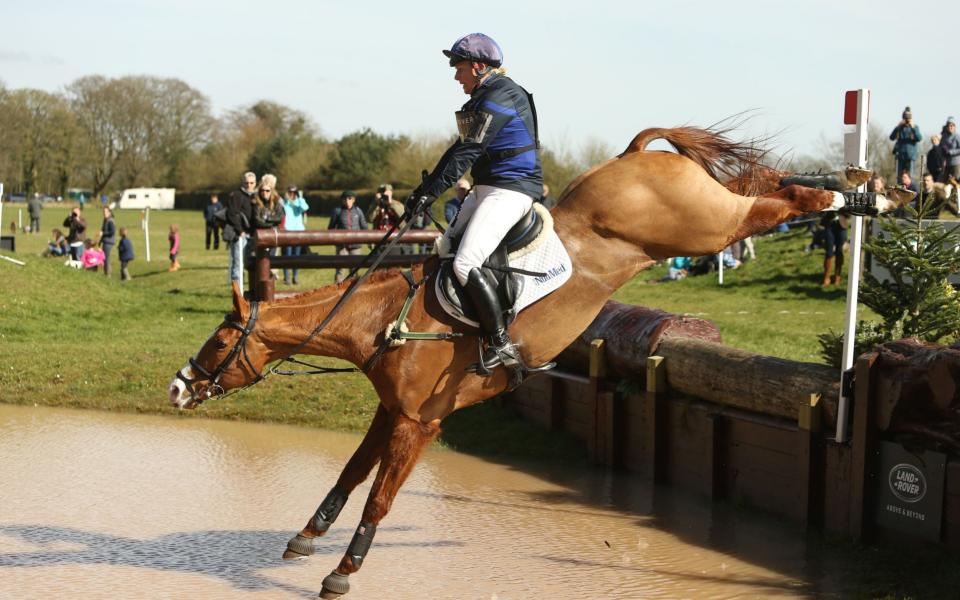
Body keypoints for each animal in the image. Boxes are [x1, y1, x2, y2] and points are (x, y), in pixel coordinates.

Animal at [167, 125, 908, 596]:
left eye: (217, 344)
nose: (178, 389)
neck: (384, 323)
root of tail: (634, 155)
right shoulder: (392, 411)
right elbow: (350, 474)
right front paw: (306, 536)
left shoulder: (420, 423)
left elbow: (379, 495)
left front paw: (343, 571)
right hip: (708, 218)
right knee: (773, 190)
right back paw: (862, 186)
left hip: (706, 228)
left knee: (778, 203)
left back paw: (867, 194)